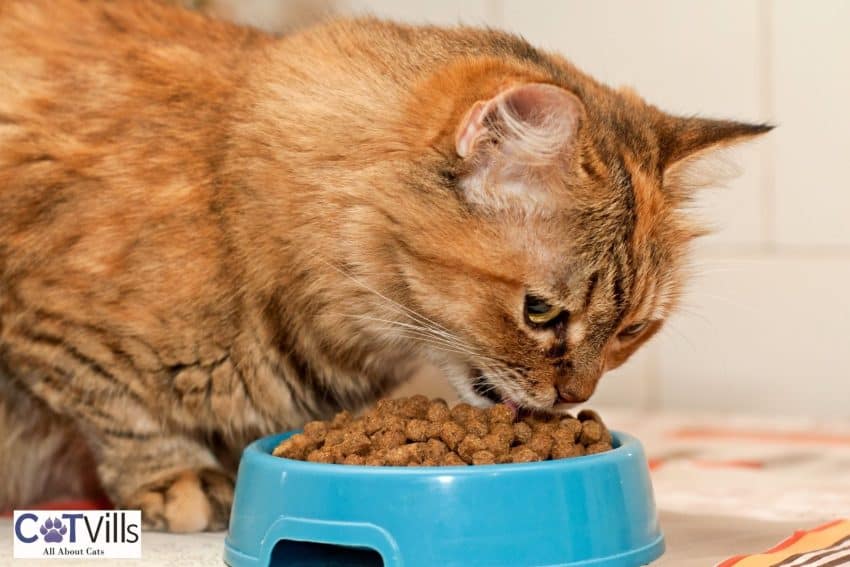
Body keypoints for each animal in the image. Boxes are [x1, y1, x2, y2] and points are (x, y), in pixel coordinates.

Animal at [0, 0, 768, 532]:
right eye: (541, 312)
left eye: (632, 329)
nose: (574, 397)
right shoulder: (45, 327)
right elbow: (122, 410)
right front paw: (180, 481)